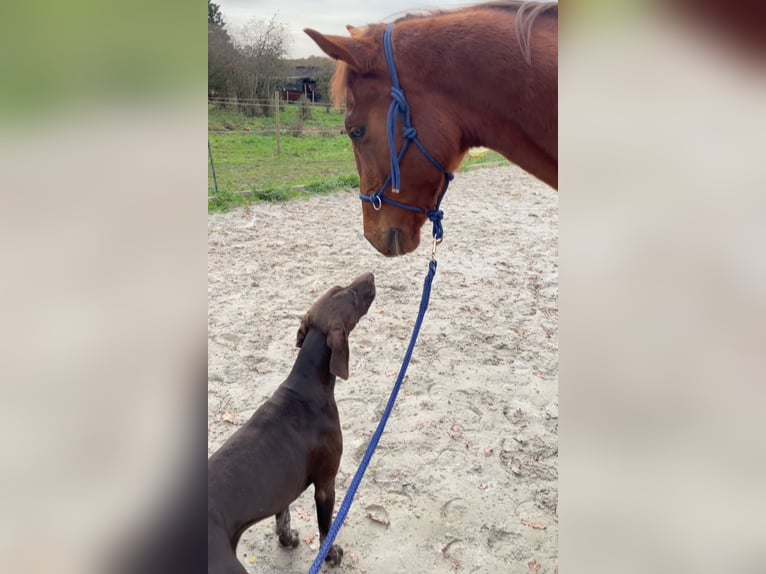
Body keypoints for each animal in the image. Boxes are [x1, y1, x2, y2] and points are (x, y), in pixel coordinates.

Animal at [210, 274, 378, 574]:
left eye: (338, 287)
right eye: (351, 295)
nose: (369, 275)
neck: (306, 385)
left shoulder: (284, 483)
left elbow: (283, 516)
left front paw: (287, 539)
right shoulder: (325, 484)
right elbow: (325, 531)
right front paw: (331, 555)